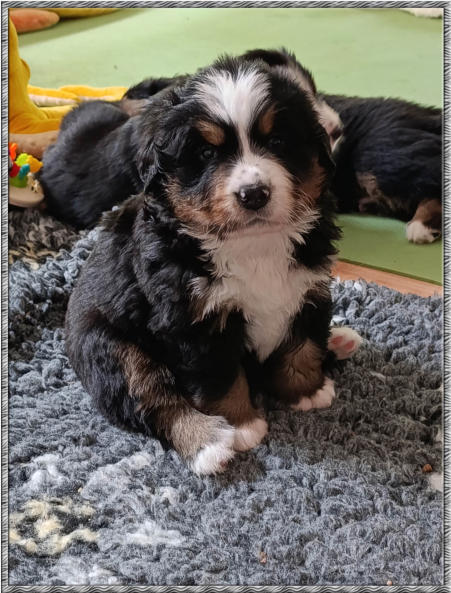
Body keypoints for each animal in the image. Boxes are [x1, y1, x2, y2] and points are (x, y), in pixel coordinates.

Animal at [65, 54, 361, 474]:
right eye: (206, 154)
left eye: (277, 142)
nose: (253, 194)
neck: (252, 245)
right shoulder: (194, 320)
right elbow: (220, 377)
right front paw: (241, 425)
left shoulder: (307, 286)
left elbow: (301, 344)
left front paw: (307, 390)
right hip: (112, 347)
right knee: (154, 398)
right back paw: (207, 444)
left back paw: (338, 338)